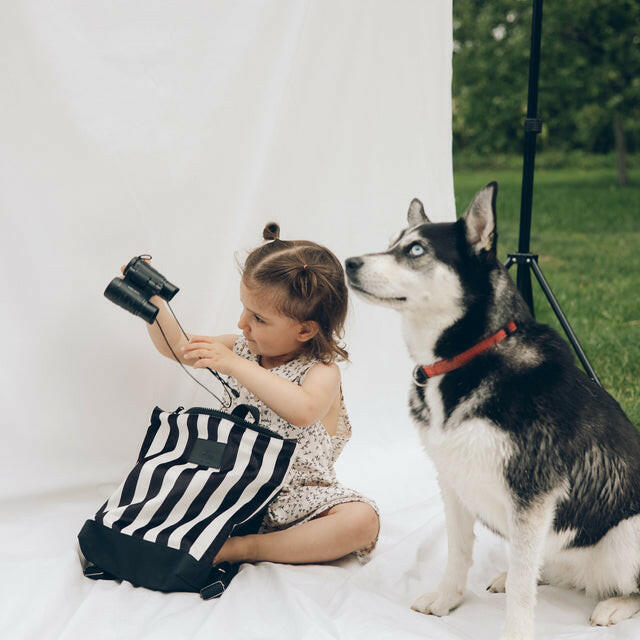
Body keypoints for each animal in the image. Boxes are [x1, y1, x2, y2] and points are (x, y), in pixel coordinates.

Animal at [344, 182, 640, 636]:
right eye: (393, 243)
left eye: (416, 250)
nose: (349, 262)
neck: (467, 357)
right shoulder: (452, 479)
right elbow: (458, 551)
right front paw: (447, 599)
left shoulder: (532, 494)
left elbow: (521, 588)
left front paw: (515, 632)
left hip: (626, 535)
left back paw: (614, 604)